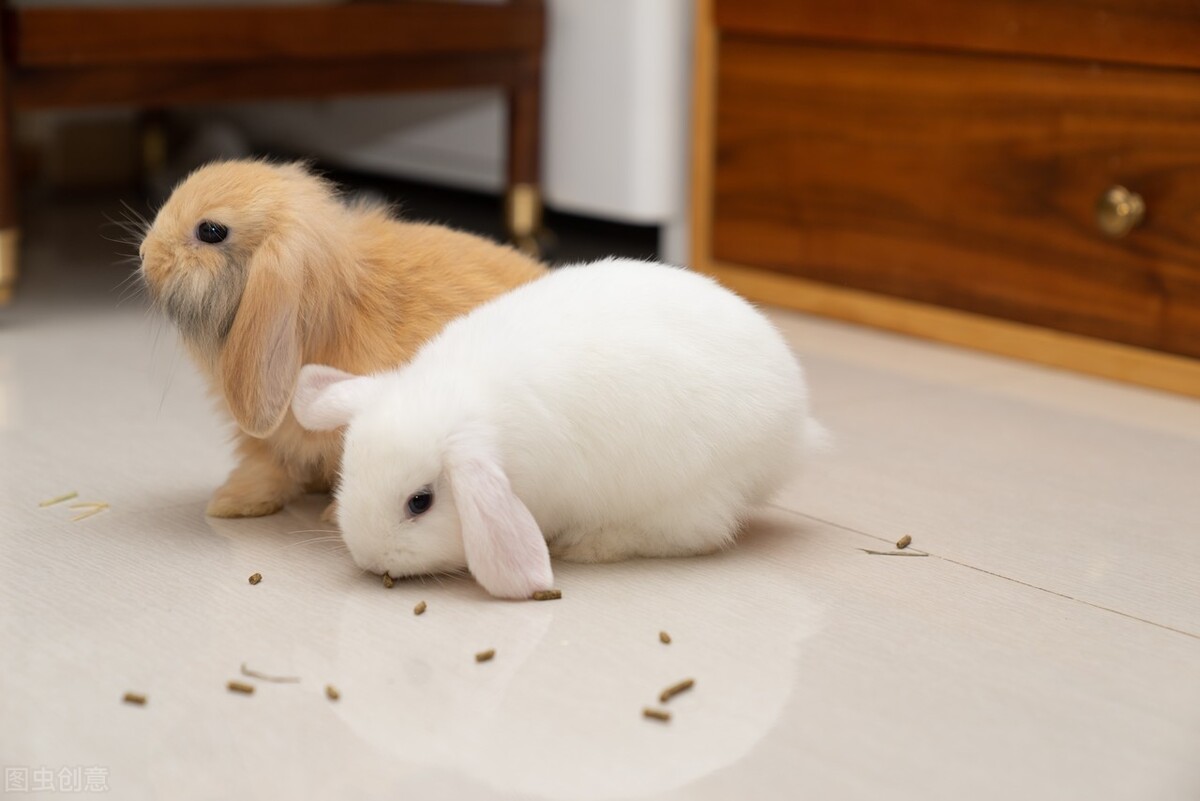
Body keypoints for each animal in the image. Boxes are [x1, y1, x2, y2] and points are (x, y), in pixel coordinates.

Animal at [138, 159, 545, 519]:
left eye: (210, 231)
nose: (145, 255)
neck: (327, 313)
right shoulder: (267, 440)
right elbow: (268, 468)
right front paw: (231, 504)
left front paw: (337, 516)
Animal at [291, 258, 827, 599]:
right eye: (346, 476)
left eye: (420, 502)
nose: (370, 558)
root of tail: (796, 426)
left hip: (687, 492)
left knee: (698, 536)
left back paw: (585, 546)